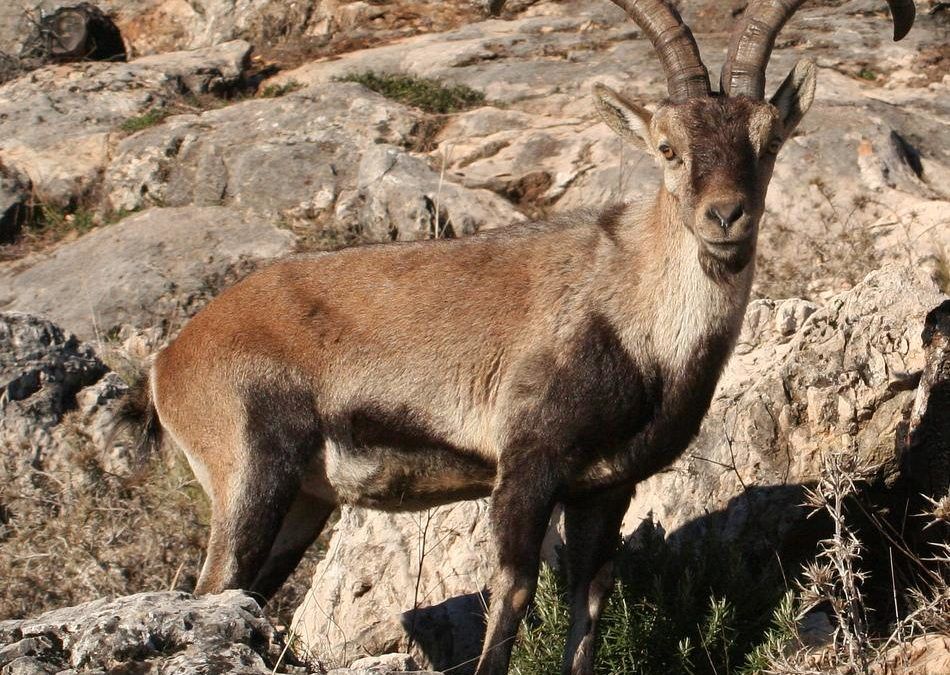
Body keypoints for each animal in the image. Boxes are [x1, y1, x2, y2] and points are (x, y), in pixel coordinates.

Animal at [130, 1, 920, 675]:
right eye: (668, 147)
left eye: (768, 139)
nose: (725, 216)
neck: (635, 311)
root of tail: (171, 358)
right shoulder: (527, 464)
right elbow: (510, 595)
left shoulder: (605, 486)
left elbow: (590, 604)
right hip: (248, 474)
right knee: (213, 589)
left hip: (302, 501)